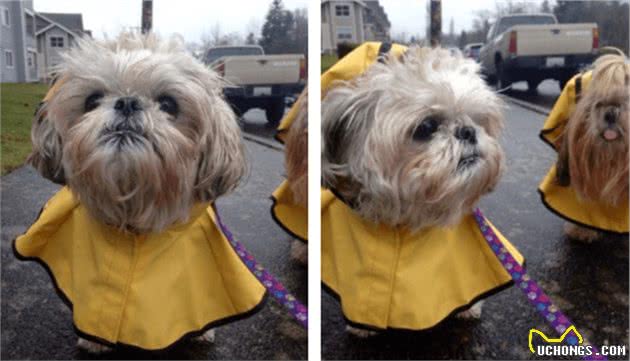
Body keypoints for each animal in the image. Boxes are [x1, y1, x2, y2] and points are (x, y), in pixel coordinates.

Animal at [324, 47, 506, 334]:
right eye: (427, 127)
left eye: (478, 120)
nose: (467, 130)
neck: (410, 220)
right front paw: (362, 325)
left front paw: (468, 307)